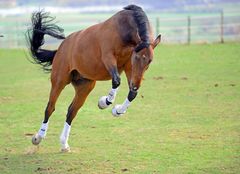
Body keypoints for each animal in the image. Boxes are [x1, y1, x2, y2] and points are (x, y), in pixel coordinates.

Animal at [26, 4, 161, 152]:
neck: (123, 30)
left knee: (71, 112)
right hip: (59, 81)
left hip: (84, 86)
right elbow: (116, 81)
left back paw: (64, 144)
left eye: (149, 61)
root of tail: (61, 48)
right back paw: (38, 137)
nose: (136, 84)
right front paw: (104, 102)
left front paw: (118, 110)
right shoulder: (109, 58)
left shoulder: (128, 67)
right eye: (136, 57)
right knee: (50, 107)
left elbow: (132, 93)